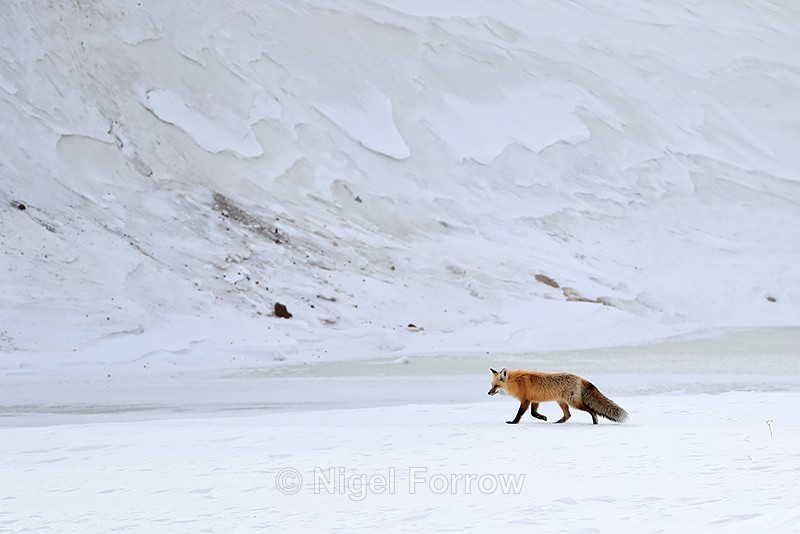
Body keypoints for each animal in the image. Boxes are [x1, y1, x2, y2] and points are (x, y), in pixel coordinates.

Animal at [488, 367, 628, 425]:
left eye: (496, 386)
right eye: (491, 385)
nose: (488, 393)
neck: (517, 382)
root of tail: (579, 378)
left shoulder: (525, 400)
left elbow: (519, 414)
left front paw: (513, 422)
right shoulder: (535, 400)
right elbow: (534, 413)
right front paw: (543, 417)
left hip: (574, 403)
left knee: (592, 411)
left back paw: (595, 421)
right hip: (561, 402)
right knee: (568, 415)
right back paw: (558, 423)